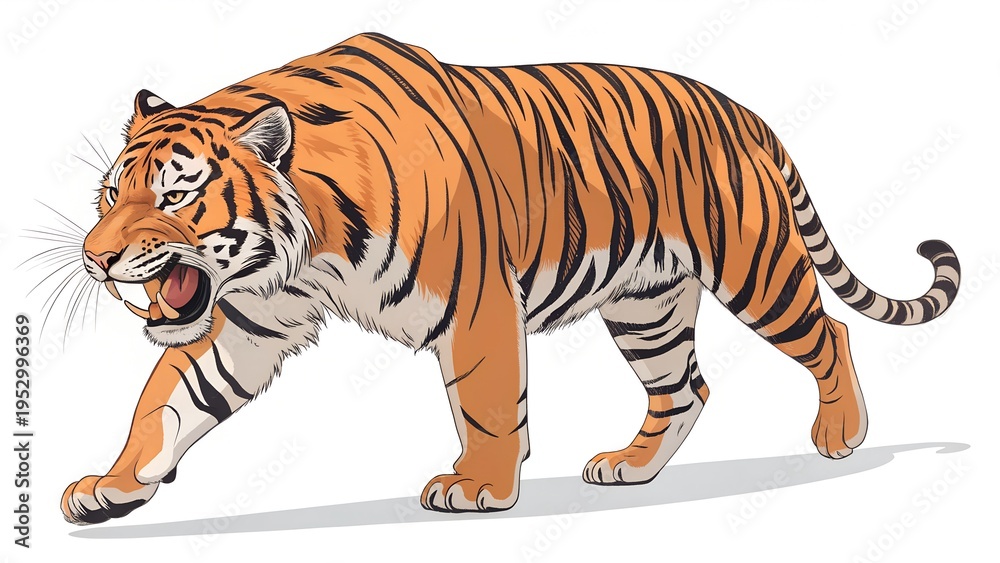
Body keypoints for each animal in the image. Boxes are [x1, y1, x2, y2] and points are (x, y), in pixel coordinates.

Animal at [61, 32, 960, 524]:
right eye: (109, 195)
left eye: (174, 196)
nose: (96, 257)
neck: (304, 247)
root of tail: (744, 111)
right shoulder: (247, 321)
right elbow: (163, 403)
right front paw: (111, 486)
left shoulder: (475, 302)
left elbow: (488, 404)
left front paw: (480, 487)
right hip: (646, 304)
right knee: (685, 386)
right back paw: (631, 467)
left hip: (755, 267)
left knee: (827, 331)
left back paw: (841, 433)